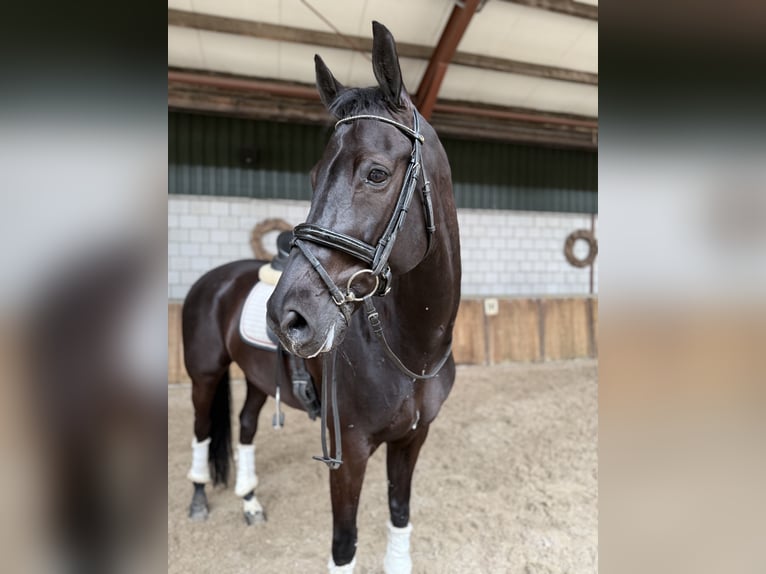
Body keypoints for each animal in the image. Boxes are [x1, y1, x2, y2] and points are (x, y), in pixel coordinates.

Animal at [183, 21, 460, 574]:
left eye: (376, 173)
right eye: (313, 177)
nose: (286, 318)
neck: (409, 350)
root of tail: (214, 280)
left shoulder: (412, 440)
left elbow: (399, 517)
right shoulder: (348, 453)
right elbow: (344, 543)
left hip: (257, 378)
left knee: (244, 425)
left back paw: (250, 502)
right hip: (204, 375)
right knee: (203, 428)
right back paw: (200, 498)